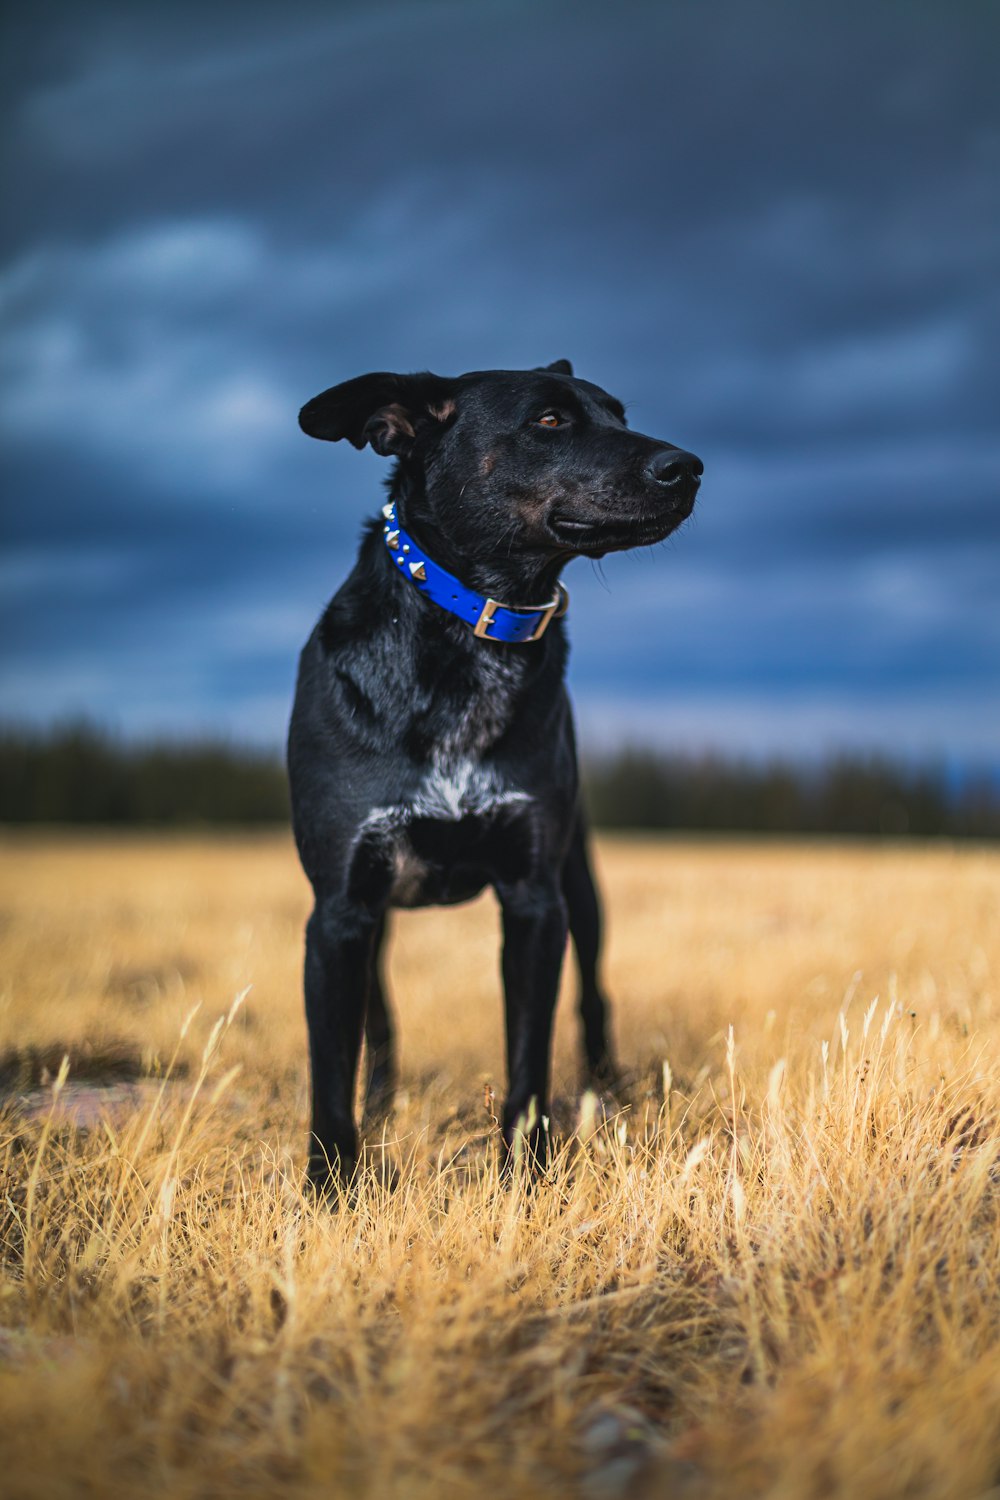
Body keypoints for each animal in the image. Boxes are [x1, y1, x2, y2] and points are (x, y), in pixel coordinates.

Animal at [284, 363, 701, 1194]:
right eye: (549, 420)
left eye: (620, 414)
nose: (690, 467)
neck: (475, 626)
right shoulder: (340, 908)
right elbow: (332, 1070)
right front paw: (331, 1189)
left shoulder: (535, 897)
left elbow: (528, 1060)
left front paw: (527, 1175)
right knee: (378, 1022)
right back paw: (382, 1108)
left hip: (582, 885)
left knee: (595, 998)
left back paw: (610, 1091)